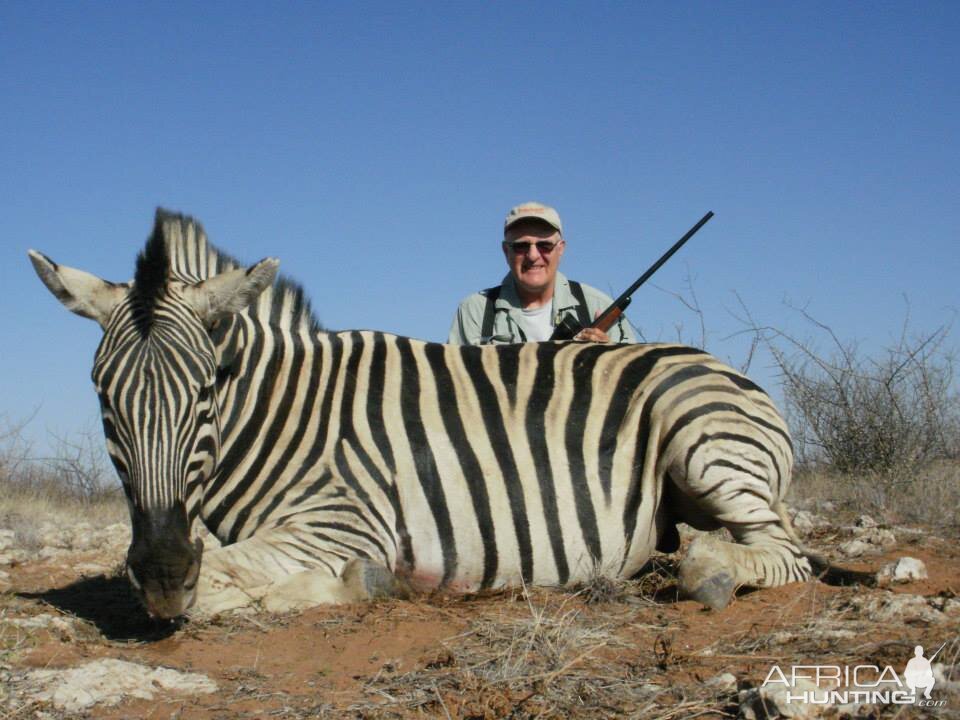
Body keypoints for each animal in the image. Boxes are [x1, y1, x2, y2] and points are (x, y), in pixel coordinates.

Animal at [31, 210, 816, 620]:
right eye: (102, 395)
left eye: (207, 389)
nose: (164, 572)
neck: (278, 411)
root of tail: (731, 373)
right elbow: (210, 572)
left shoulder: (343, 520)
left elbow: (224, 576)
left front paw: (361, 583)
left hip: (701, 443)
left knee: (785, 553)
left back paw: (706, 571)